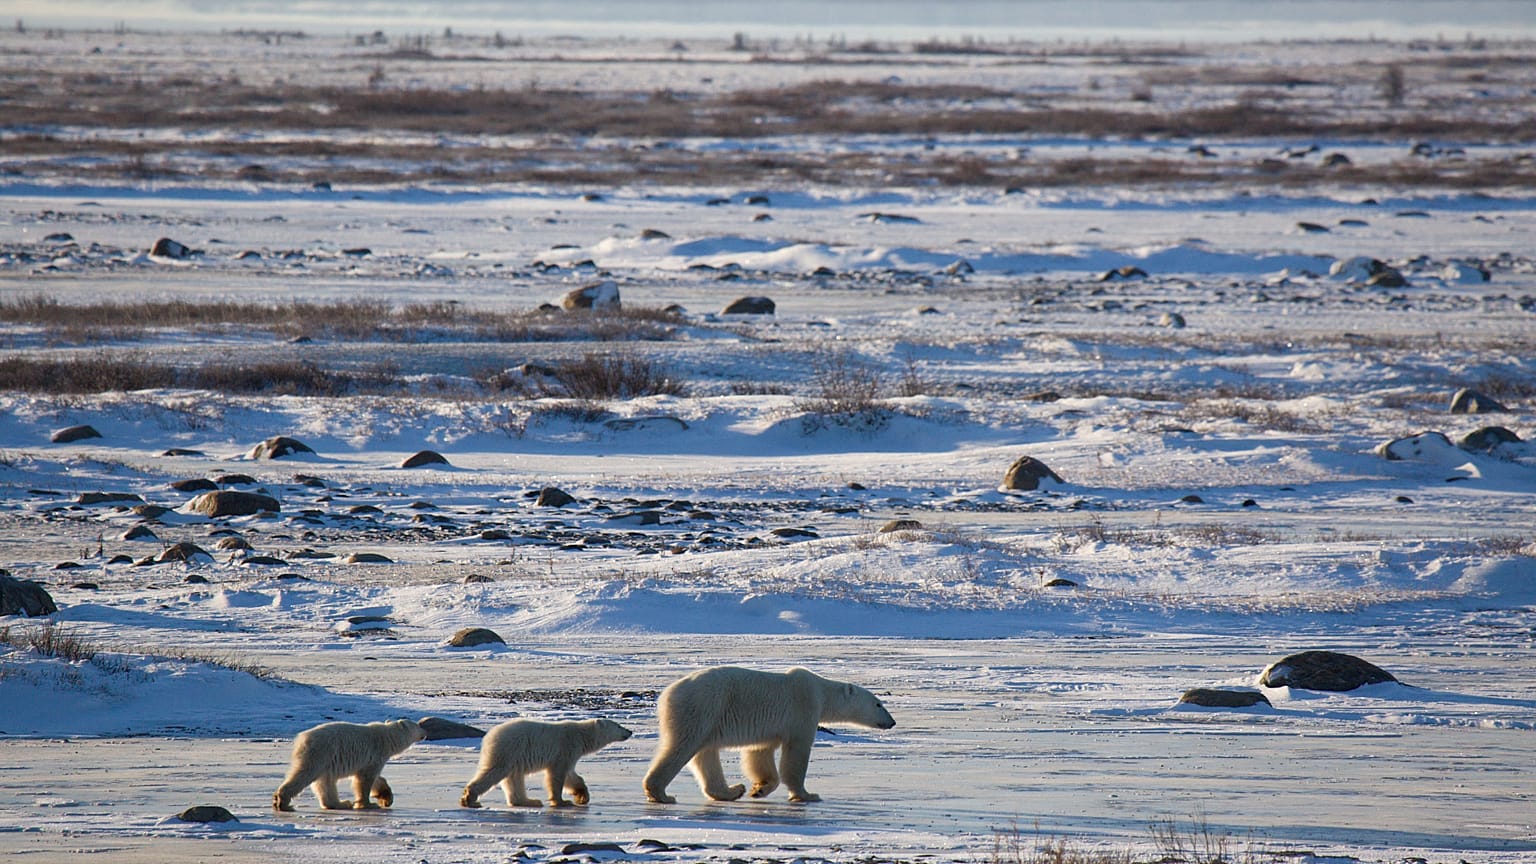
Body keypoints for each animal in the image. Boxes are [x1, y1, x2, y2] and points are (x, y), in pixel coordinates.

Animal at [273, 718, 426, 812]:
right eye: (417, 725)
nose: (425, 731)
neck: (387, 738)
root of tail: (302, 739)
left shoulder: (371, 760)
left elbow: (375, 778)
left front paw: (386, 797)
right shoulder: (376, 753)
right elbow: (365, 780)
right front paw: (369, 804)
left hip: (326, 760)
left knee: (325, 782)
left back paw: (340, 803)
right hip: (320, 753)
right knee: (305, 774)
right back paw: (282, 801)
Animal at [459, 718, 633, 809]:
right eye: (618, 725)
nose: (630, 731)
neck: (581, 735)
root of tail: (489, 736)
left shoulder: (571, 754)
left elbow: (572, 775)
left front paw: (582, 796)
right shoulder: (566, 747)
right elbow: (557, 775)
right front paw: (562, 801)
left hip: (515, 756)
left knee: (514, 778)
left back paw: (529, 801)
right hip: (509, 749)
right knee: (495, 771)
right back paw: (470, 799)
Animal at [643, 666, 894, 805]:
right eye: (878, 703)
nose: (891, 722)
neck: (821, 692)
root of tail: (666, 694)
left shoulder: (769, 728)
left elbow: (759, 753)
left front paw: (759, 788)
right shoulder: (803, 708)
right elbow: (796, 754)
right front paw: (807, 794)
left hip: (708, 716)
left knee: (706, 754)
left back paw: (732, 791)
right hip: (702, 707)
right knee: (683, 746)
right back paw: (661, 794)